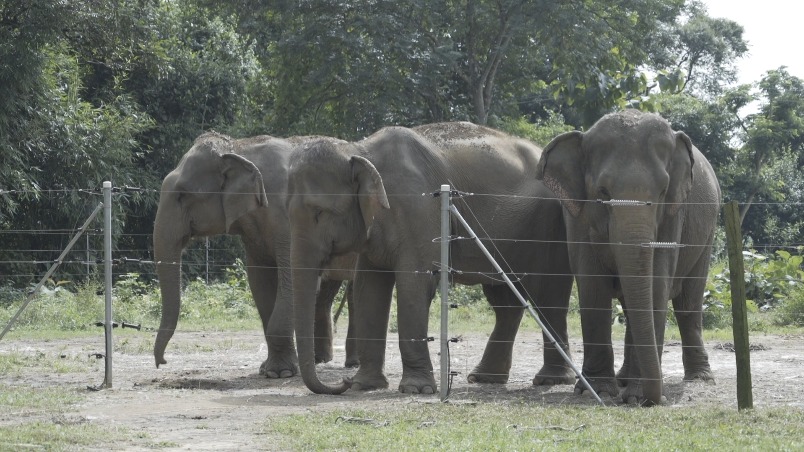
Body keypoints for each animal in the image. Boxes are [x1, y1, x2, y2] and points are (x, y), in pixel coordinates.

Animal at [153, 132, 358, 378]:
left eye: (182, 195)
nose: (162, 362)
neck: (240, 147)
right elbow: (259, 281)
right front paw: (270, 370)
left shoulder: (290, 216)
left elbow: (290, 279)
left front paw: (281, 373)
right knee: (326, 293)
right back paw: (319, 360)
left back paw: (352, 363)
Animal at [286, 122, 575, 395]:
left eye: (320, 212)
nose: (342, 382)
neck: (360, 149)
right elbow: (369, 289)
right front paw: (364, 385)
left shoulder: (420, 211)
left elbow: (413, 286)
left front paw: (416, 388)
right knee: (505, 301)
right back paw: (485, 378)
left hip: (550, 227)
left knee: (549, 295)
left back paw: (550, 379)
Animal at [536, 109, 720, 406]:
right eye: (602, 192)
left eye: (662, 192)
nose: (657, 400)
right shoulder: (577, 216)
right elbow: (592, 285)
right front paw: (596, 391)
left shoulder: (673, 213)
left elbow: (656, 283)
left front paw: (636, 397)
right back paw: (623, 380)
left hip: (707, 234)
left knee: (688, 303)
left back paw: (700, 379)